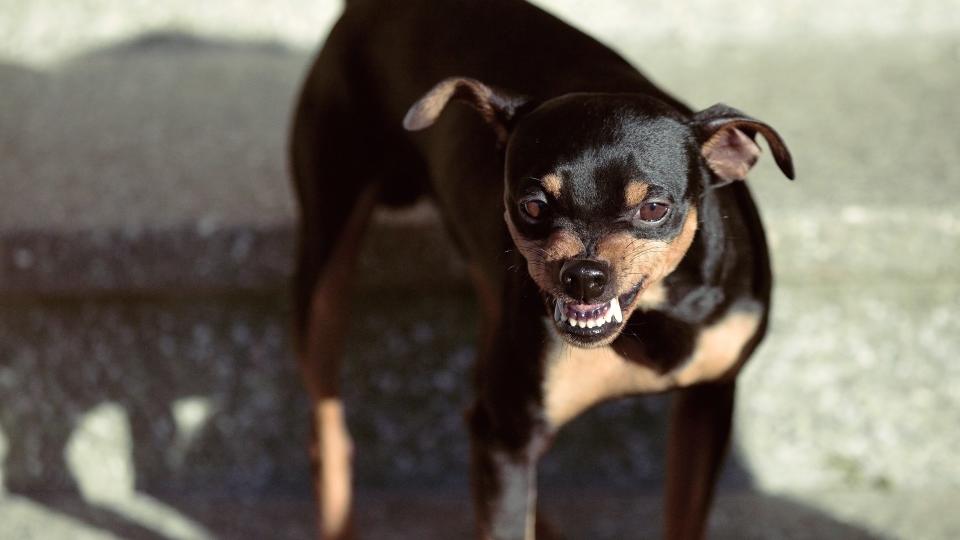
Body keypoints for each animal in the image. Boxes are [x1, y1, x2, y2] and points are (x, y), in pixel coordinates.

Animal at [286, 2, 796, 536]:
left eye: (654, 209)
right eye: (532, 205)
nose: (584, 275)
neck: (653, 317)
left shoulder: (709, 398)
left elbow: (684, 516)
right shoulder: (507, 435)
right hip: (325, 264)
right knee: (328, 434)